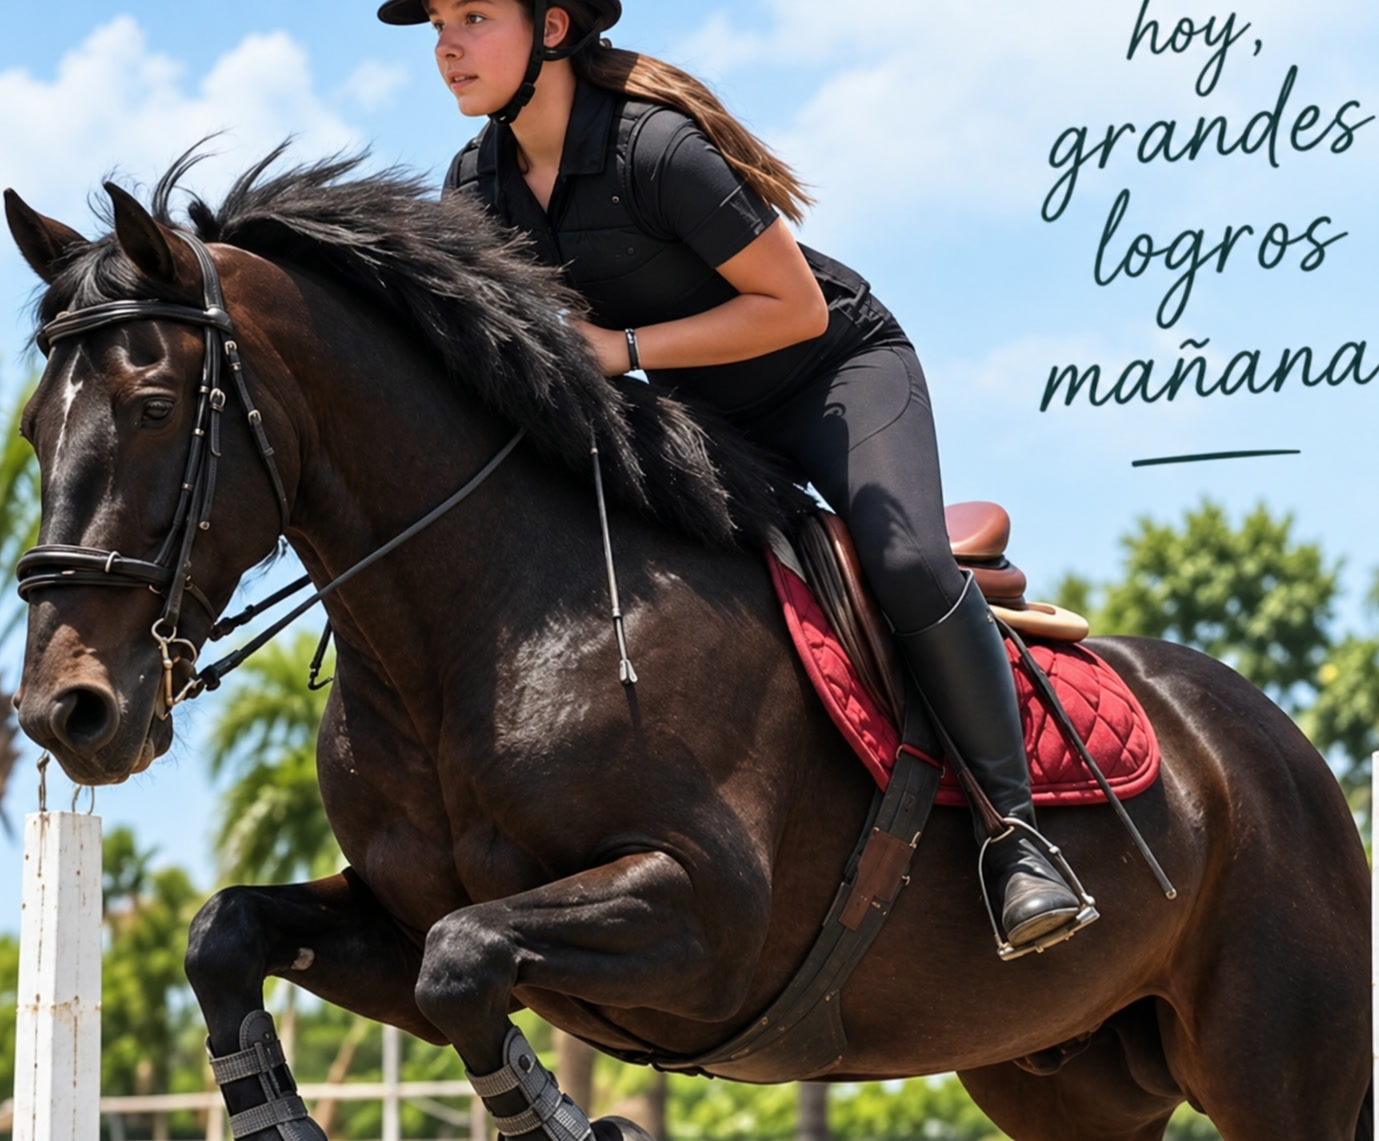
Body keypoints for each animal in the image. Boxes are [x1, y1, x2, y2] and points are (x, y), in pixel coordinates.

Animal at [4, 152, 1370, 1141]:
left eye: (153, 406)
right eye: (31, 426)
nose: (66, 712)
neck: (489, 626)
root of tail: (1274, 748)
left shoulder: (702, 916)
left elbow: (464, 964)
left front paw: (568, 1122)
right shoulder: (397, 916)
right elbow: (229, 933)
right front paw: (283, 1118)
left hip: (1277, 1070)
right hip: (1064, 1078)